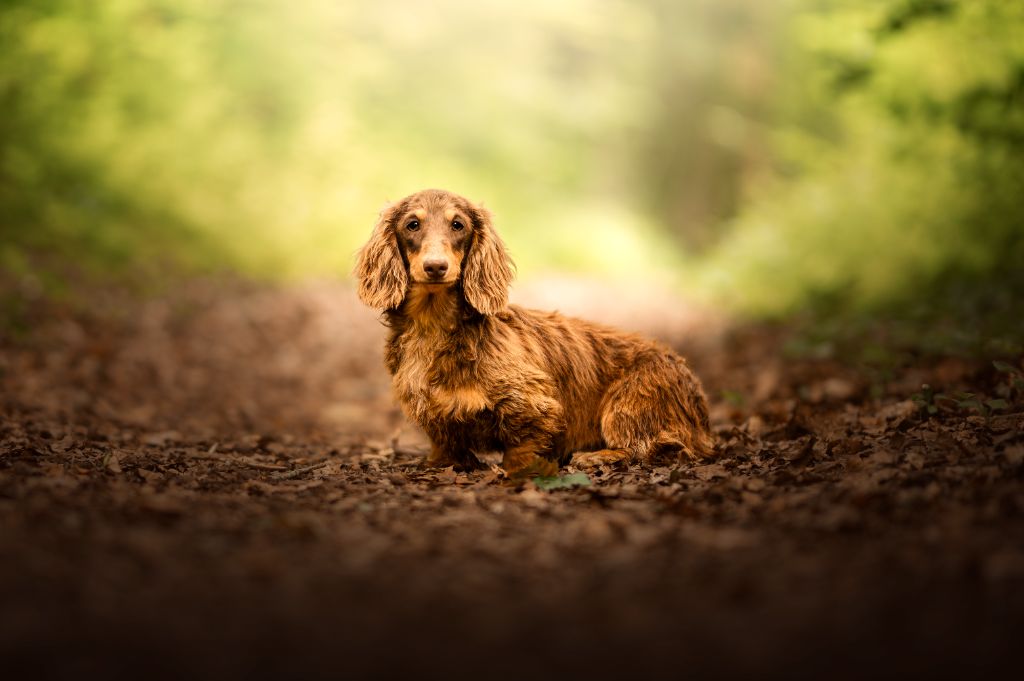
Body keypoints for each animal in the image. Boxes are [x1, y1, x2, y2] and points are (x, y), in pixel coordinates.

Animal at [352, 188, 712, 471]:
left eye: (458, 225)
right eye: (412, 224)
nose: (436, 267)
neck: (434, 326)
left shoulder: (534, 405)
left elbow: (522, 448)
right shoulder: (435, 421)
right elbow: (446, 449)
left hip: (628, 402)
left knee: (652, 447)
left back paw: (597, 456)